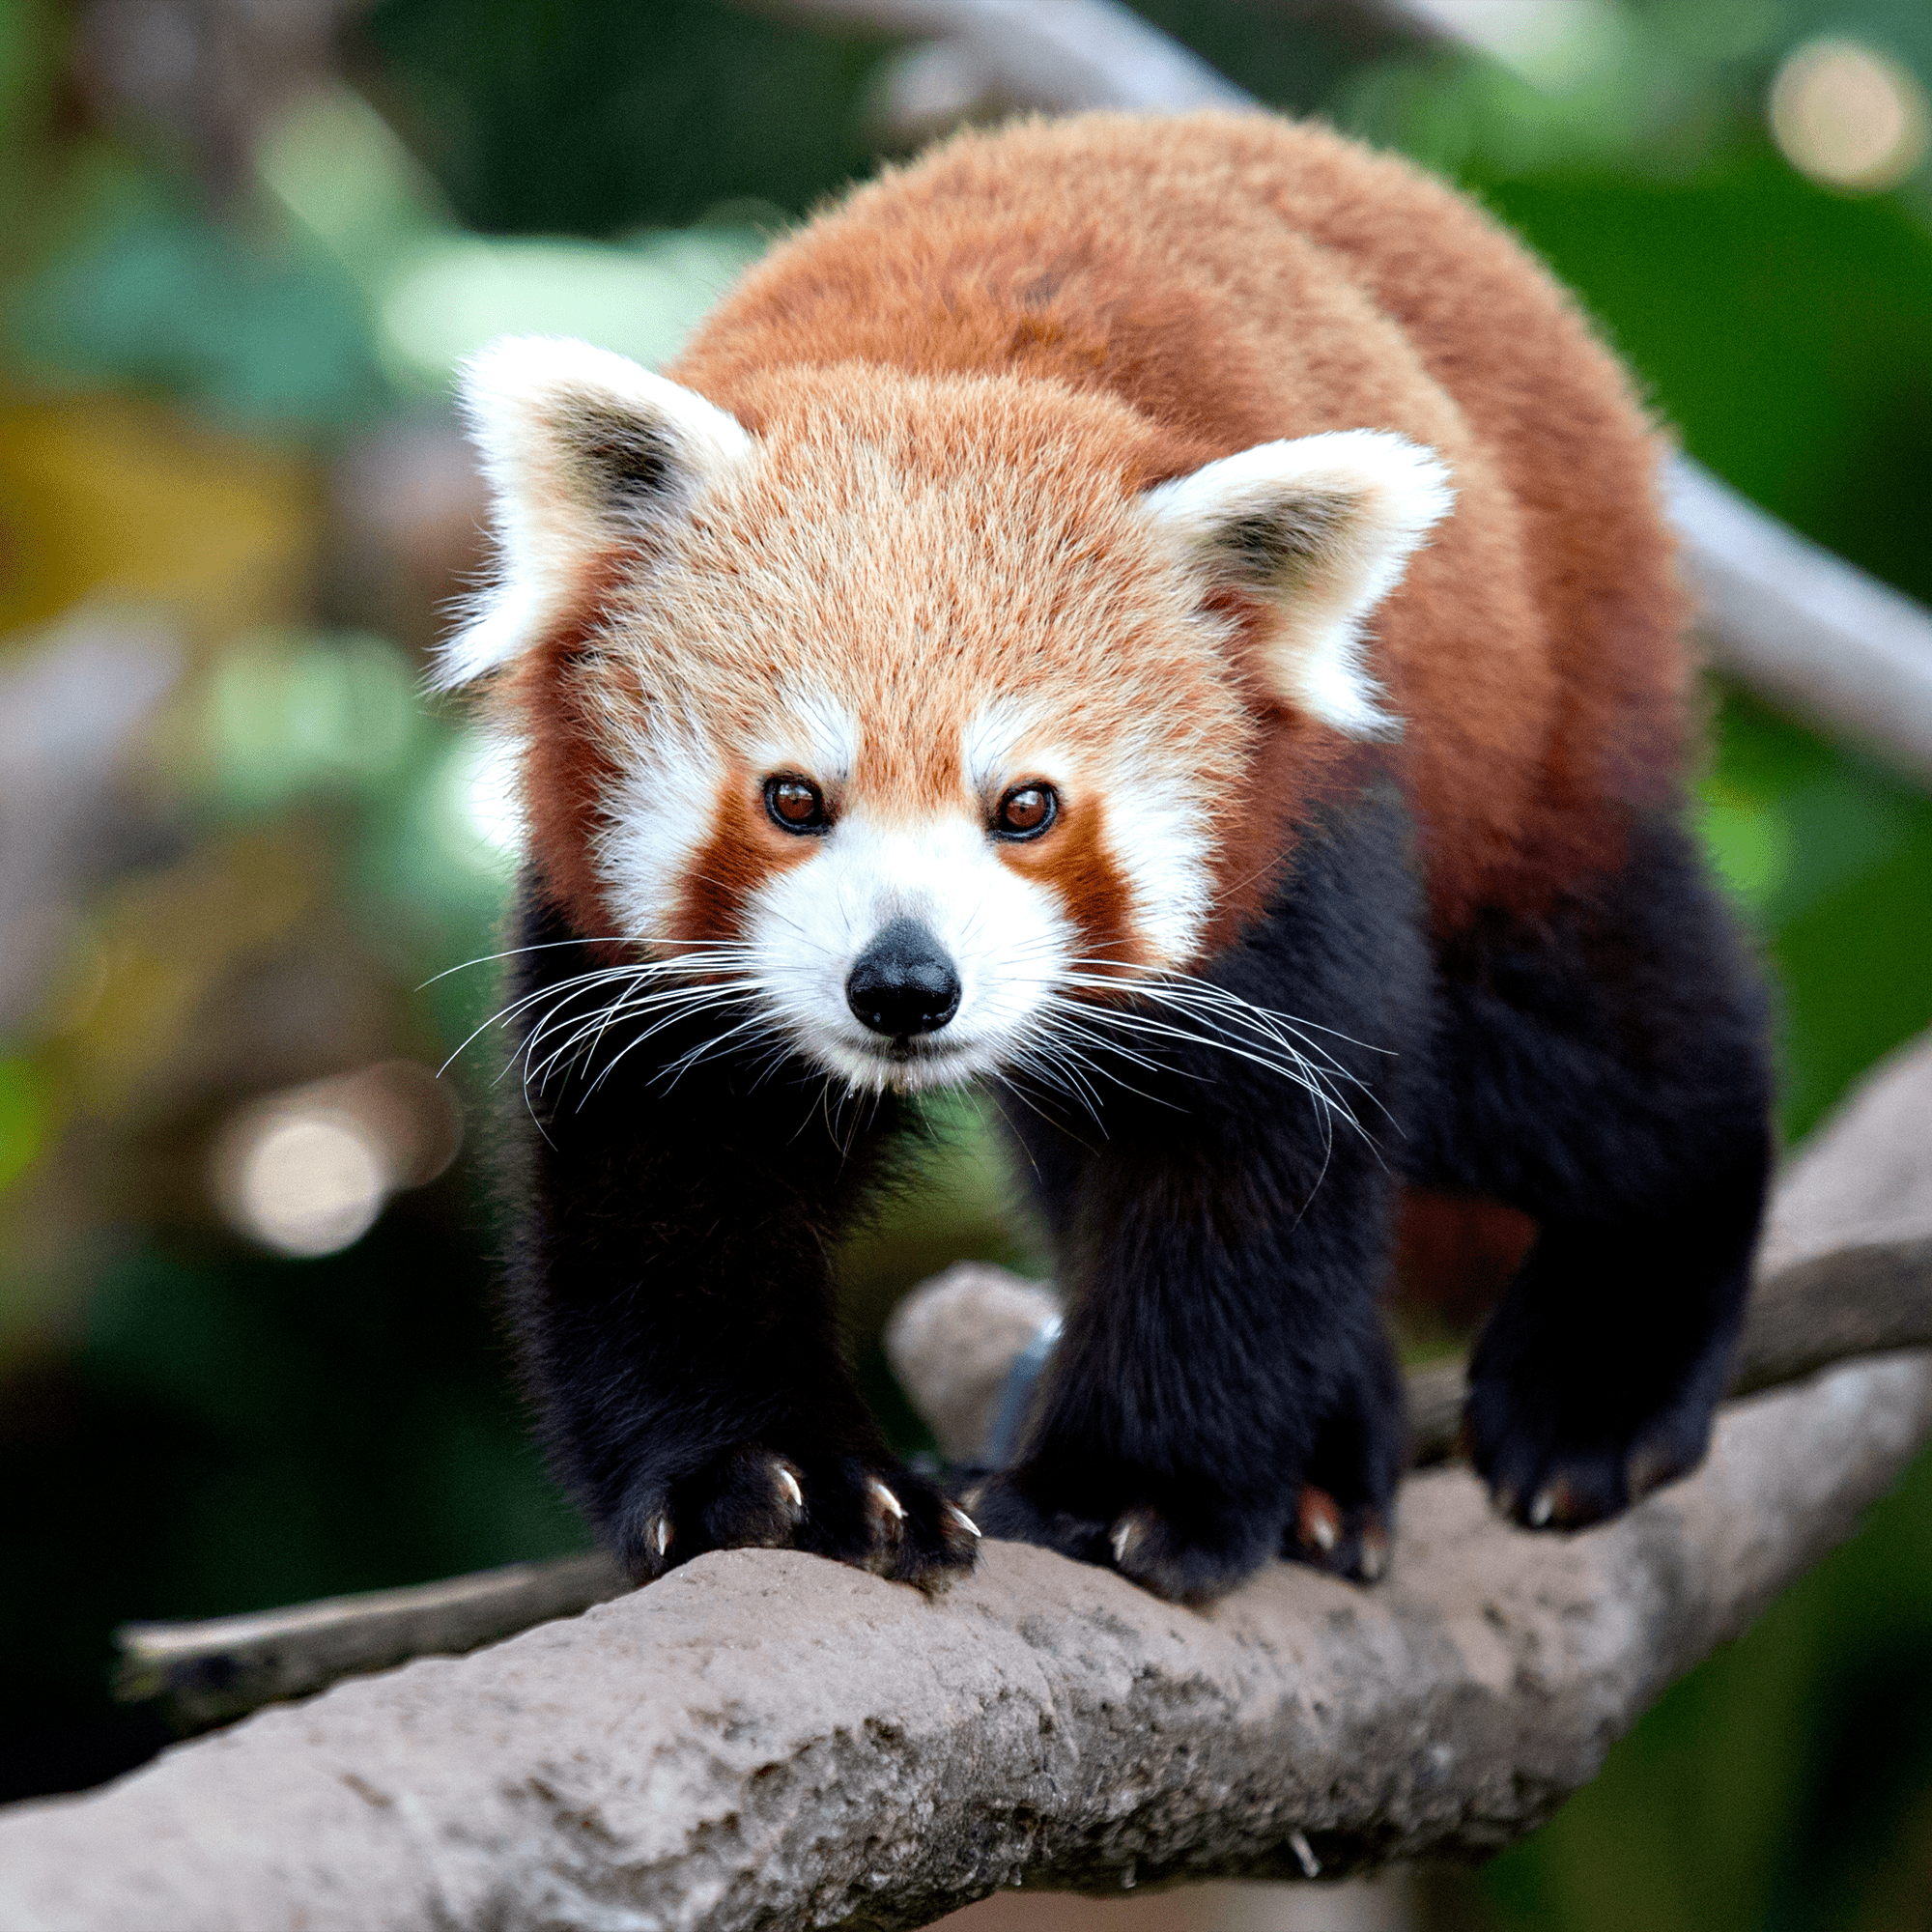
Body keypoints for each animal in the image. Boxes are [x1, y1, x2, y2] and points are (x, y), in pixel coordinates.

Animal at [444, 113, 1770, 1607]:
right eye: (793, 798)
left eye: (1025, 808)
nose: (905, 987)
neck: (949, 368)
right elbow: (675, 1168)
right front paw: (781, 1479)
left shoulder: (1298, 845)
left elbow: (1244, 1167)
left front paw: (1126, 1491)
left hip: (1544, 730)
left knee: (1599, 1056)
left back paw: (1604, 1371)